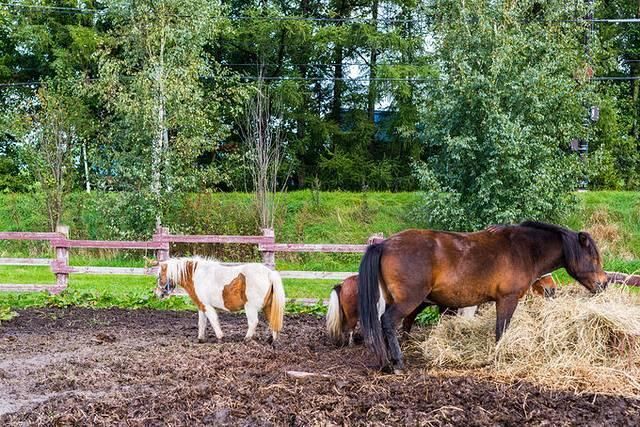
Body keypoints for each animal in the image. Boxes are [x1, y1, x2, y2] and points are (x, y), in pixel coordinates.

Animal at [154, 258, 284, 344]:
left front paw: (220, 338)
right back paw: (273, 341)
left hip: (250, 308)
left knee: (253, 322)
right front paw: (200, 339)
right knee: (272, 321)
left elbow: (213, 321)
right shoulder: (201, 306)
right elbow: (202, 323)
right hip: (268, 307)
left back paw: (246, 339)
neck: (198, 275)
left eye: (159, 275)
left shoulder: (207, 306)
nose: (157, 294)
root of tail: (269, 273)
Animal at [358, 222, 608, 372]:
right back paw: (397, 362)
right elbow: (501, 330)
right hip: (408, 301)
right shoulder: (507, 299)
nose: (604, 283)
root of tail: (385, 244)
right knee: (388, 322)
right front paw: (499, 356)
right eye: (593, 258)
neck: (523, 249)